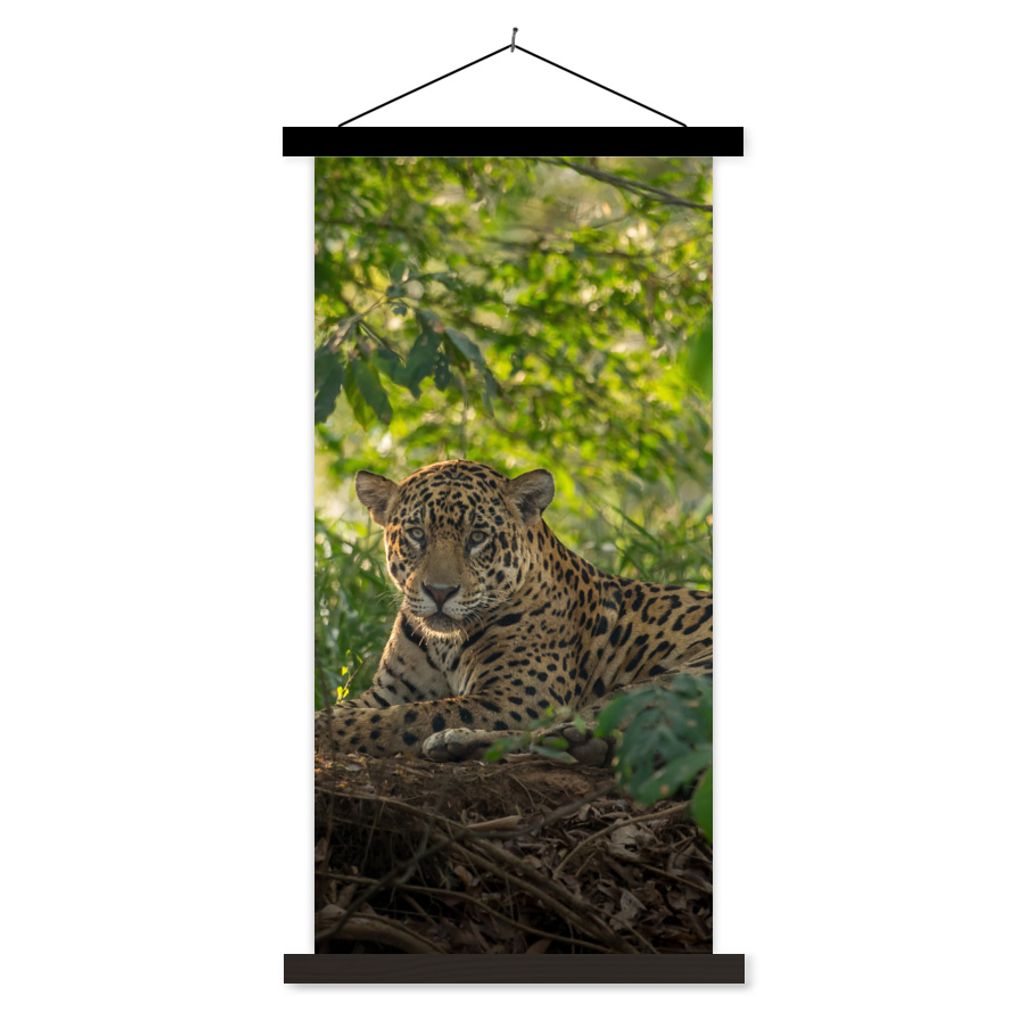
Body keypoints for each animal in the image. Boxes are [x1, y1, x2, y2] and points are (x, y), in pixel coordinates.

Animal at [317, 459, 712, 763]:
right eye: (416, 533)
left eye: (477, 537)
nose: (440, 591)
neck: (444, 643)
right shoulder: (386, 692)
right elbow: (354, 708)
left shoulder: (520, 698)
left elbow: (407, 718)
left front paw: (325, 731)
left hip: (671, 681)